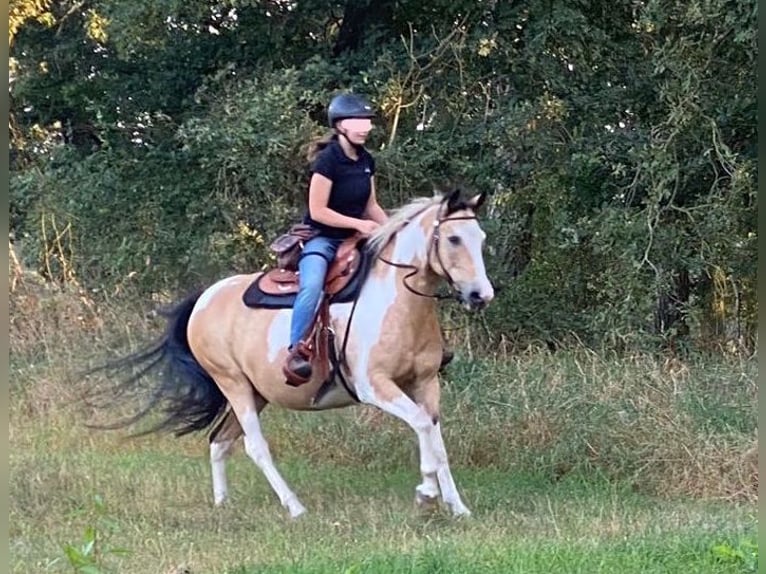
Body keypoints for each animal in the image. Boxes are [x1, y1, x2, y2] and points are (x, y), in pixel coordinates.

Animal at [91, 191, 498, 520]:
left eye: (480, 238)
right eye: (454, 238)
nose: (482, 295)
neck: (397, 301)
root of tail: (204, 298)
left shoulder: (425, 383)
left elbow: (435, 437)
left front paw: (457, 506)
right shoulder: (375, 386)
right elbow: (422, 425)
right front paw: (426, 493)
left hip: (255, 393)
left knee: (220, 441)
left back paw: (223, 504)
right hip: (233, 385)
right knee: (254, 446)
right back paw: (295, 507)